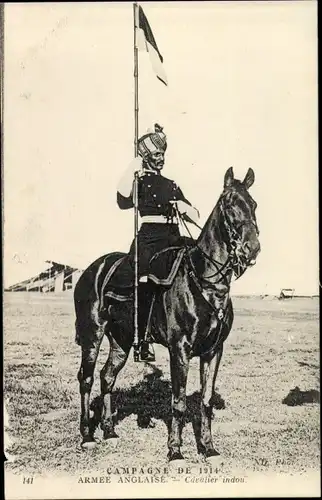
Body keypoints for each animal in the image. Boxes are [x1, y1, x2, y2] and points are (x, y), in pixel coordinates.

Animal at [74, 167, 260, 460]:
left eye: (253, 204)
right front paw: (175, 451)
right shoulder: (179, 349)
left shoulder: (214, 351)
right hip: (92, 333)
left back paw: (110, 431)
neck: (205, 281)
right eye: (229, 204)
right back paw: (87, 436)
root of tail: (92, 269)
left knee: (107, 376)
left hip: (121, 340)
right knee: (87, 377)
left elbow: (205, 400)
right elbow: (179, 402)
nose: (251, 249)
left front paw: (208, 448)